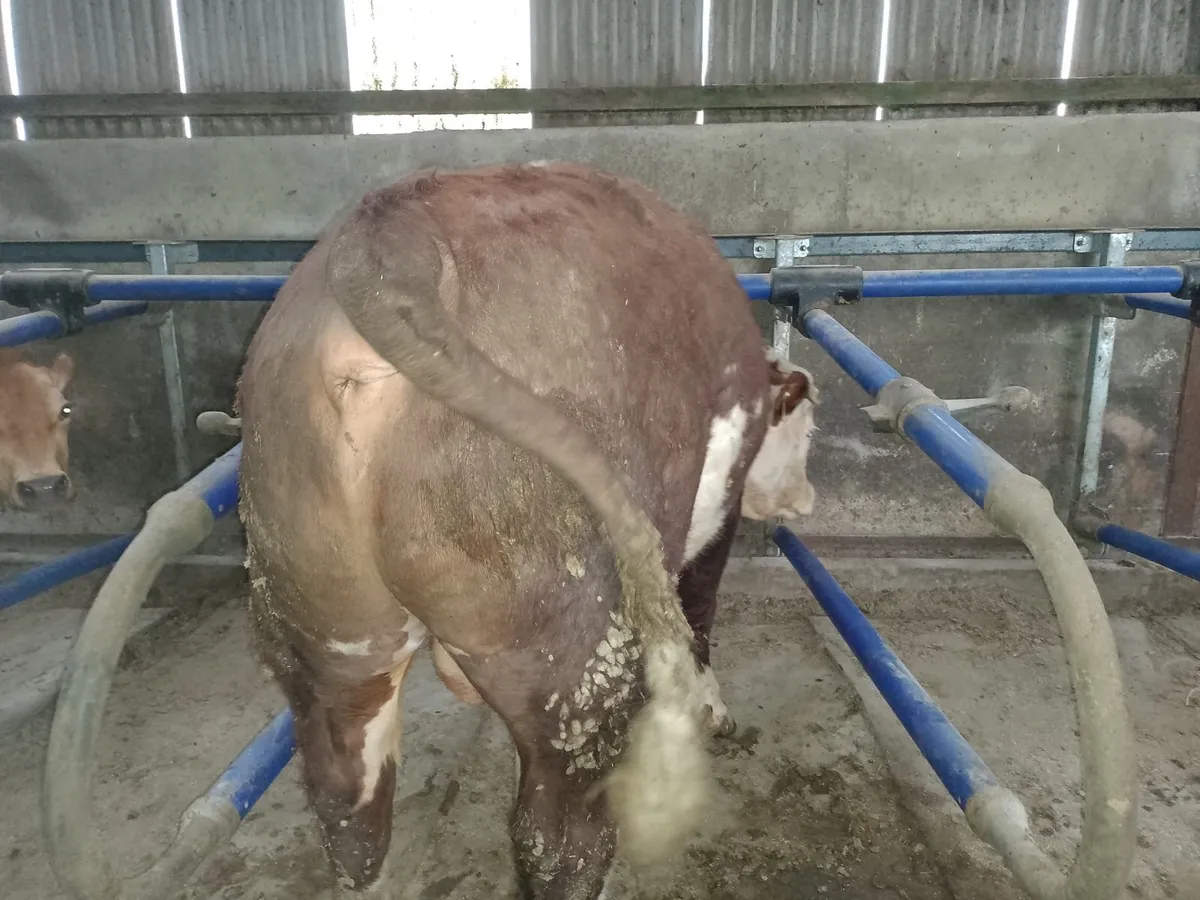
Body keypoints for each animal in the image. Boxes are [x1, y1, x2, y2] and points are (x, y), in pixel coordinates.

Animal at [235, 161, 817, 898]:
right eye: (807, 429)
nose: (805, 501)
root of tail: (389, 238)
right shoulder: (718, 515)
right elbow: (702, 604)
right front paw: (714, 709)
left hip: (323, 624)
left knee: (349, 810)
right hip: (576, 651)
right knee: (558, 838)